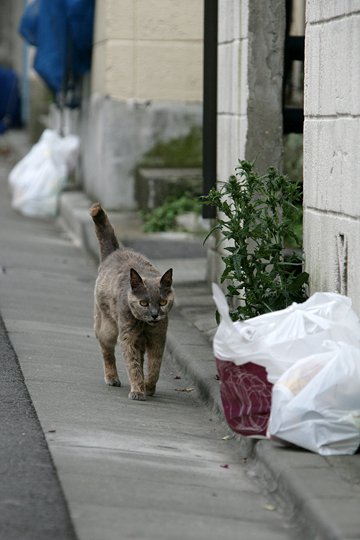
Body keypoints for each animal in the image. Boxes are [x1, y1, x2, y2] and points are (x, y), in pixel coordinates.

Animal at [90, 205, 174, 398]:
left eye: (163, 302)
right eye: (143, 303)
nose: (154, 315)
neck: (144, 325)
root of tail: (115, 251)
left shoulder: (158, 338)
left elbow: (155, 367)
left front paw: (148, 386)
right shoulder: (128, 337)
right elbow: (133, 365)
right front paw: (137, 390)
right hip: (108, 327)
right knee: (106, 351)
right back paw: (112, 378)